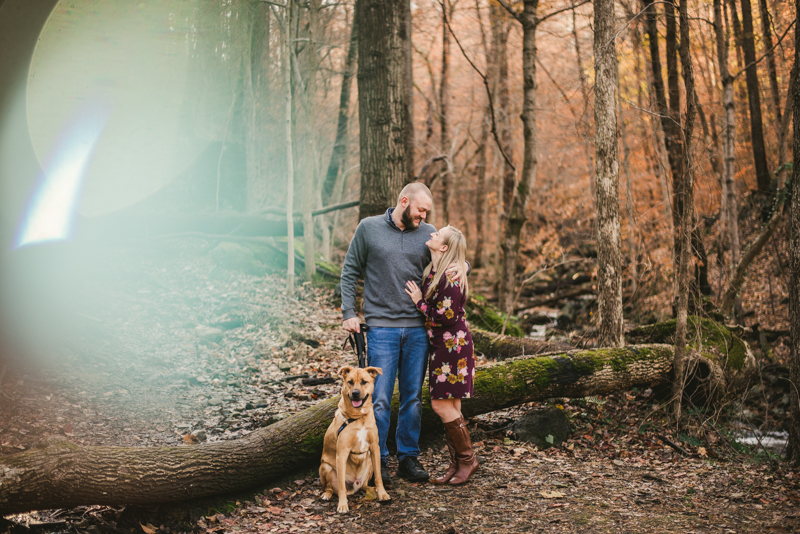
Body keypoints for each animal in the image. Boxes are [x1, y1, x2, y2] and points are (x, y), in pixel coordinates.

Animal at [320, 368, 392, 516]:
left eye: (364, 382)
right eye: (350, 382)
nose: (355, 393)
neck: (359, 416)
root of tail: (354, 486)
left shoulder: (375, 448)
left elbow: (379, 478)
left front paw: (382, 494)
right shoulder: (342, 453)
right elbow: (341, 486)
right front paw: (342, 505)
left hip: (370, 462)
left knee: (364, 485)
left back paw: (371, 489)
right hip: (325, 467)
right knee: (331, 488)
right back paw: (327, 495)